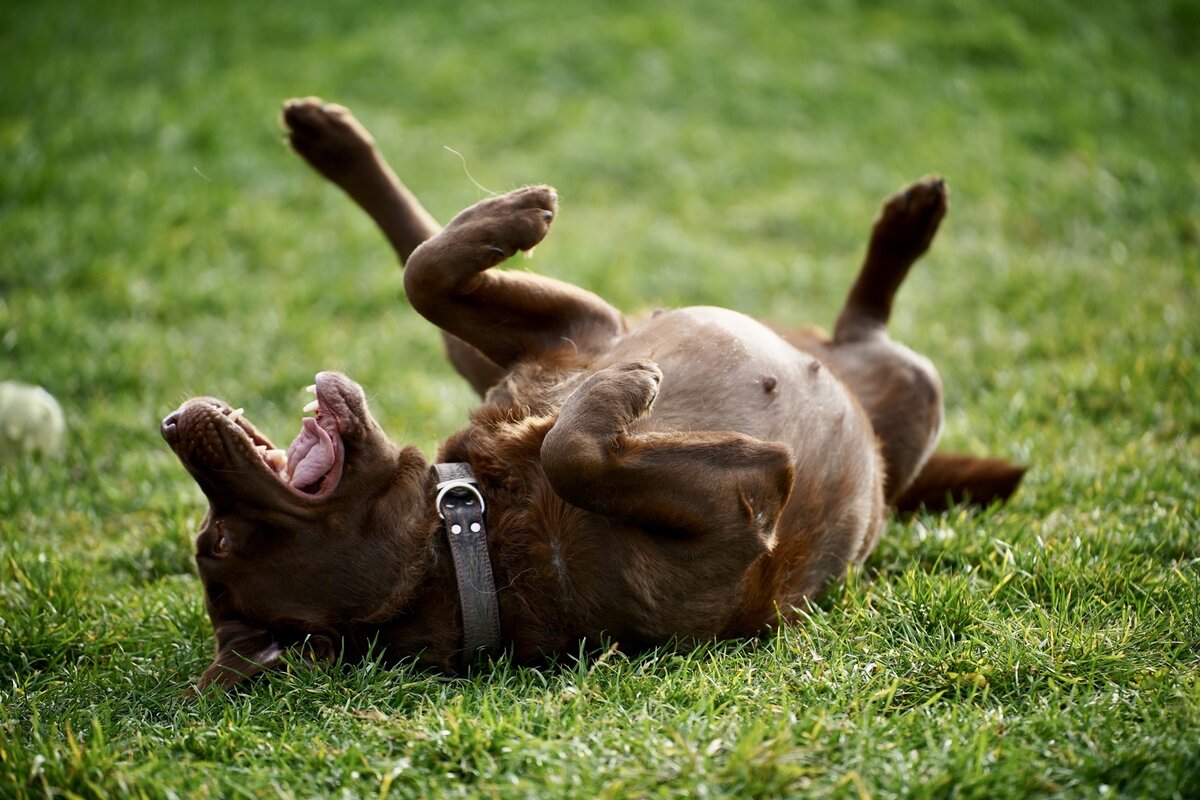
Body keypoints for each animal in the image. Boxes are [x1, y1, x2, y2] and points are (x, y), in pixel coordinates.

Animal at [159, 98, 1022, 690]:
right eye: (220, 541)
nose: (171, 422)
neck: (473, 530)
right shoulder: (735, 507)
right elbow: (572, 451)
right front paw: (626, 388)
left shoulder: (577, 331)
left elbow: (425, 274)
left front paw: (513, 212)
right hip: (917, 395)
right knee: (873, 333)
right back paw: (908, 230)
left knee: (417, 251)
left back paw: (328, 138)